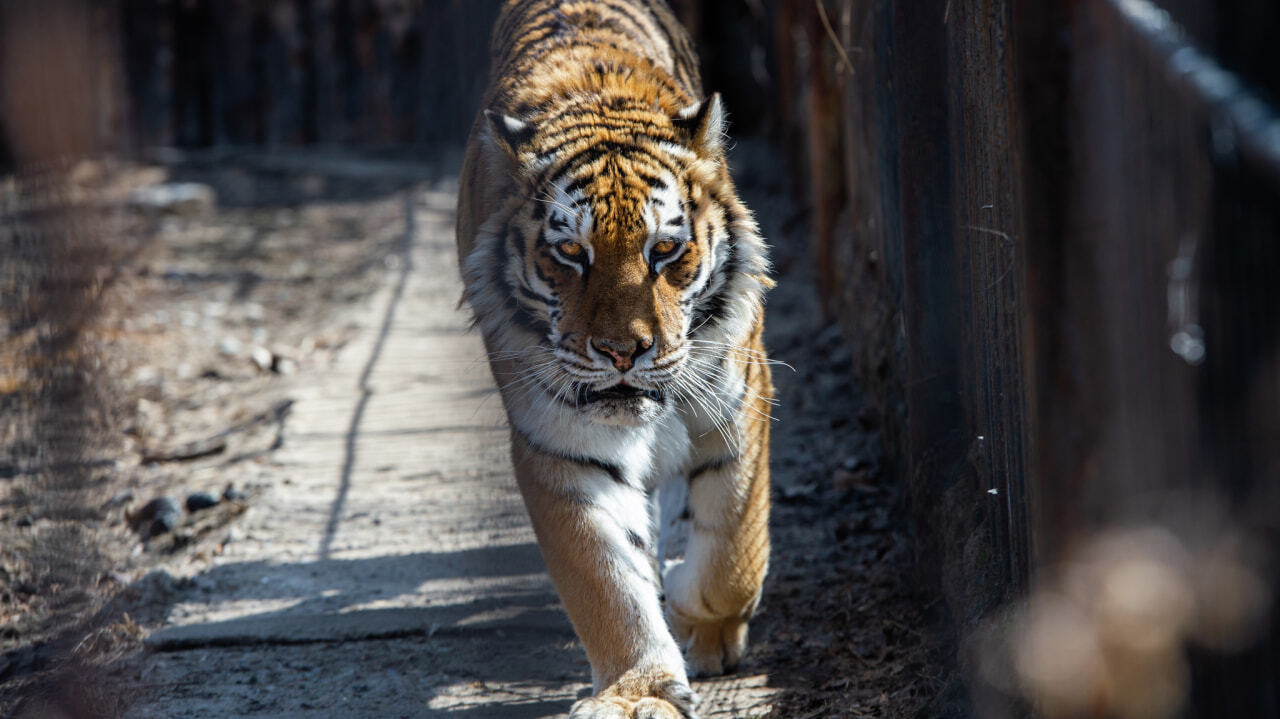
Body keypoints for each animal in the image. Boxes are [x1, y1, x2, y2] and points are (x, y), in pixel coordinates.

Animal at [458, 2, 768, 711]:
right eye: (571, 254)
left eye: (664, 250)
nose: (623, 351)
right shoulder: (562, 445)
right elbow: (605, 580)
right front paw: (639, 692)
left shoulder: (740, 403)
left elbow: (734, 551)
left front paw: (703, 625)